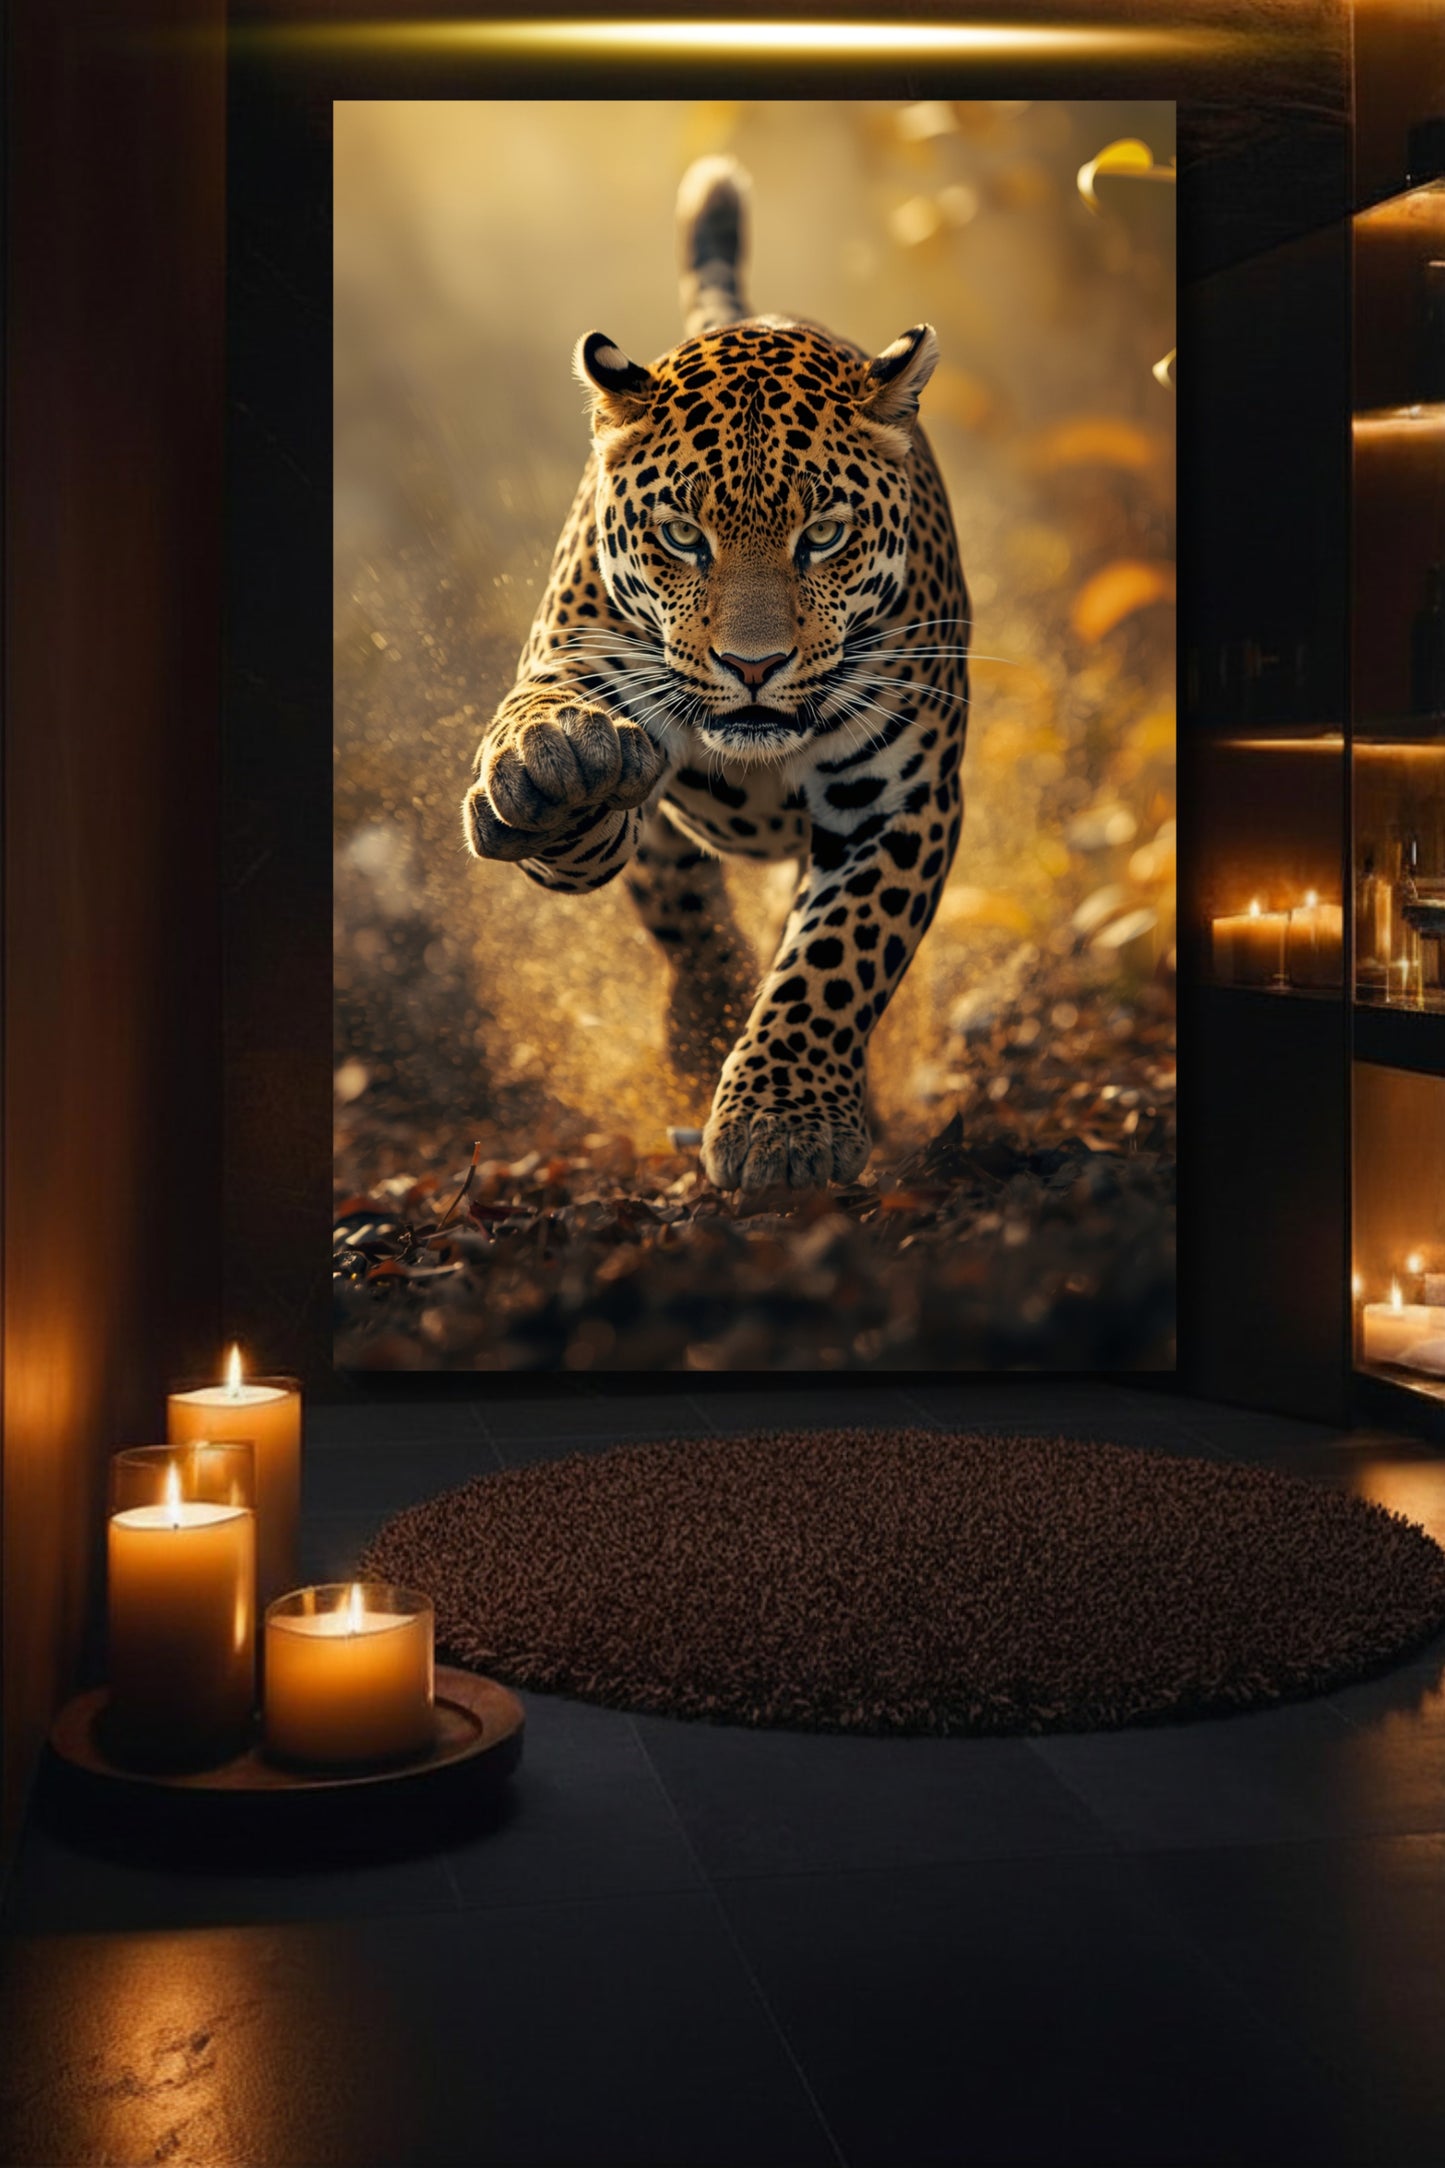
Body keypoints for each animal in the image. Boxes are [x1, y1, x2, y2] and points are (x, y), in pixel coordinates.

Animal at [463, 155, 970, 1192]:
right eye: (682, 536)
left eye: (823, 534)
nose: (752, 665)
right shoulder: (576, 652)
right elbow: (560, 761)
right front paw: (554, 771)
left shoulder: (898, 802)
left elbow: (835, 958)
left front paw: (783, 1123)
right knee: (679, 897)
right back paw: (701, 1019)